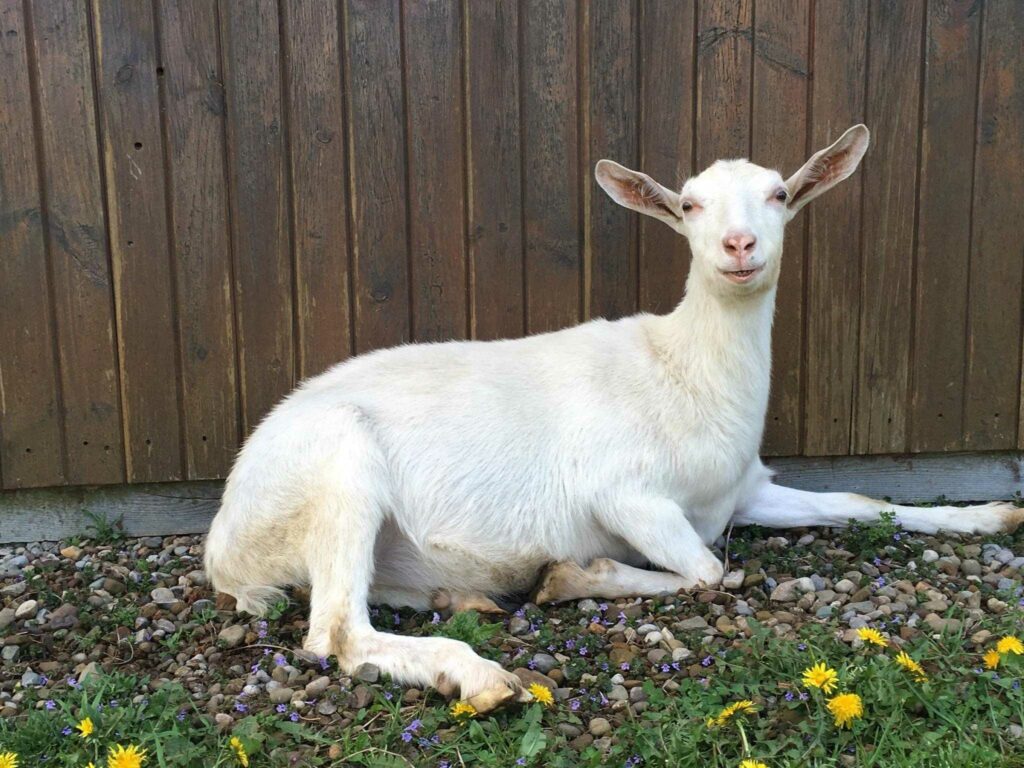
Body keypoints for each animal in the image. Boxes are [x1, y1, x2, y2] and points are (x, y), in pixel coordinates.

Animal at [204, 124, 1023, 712]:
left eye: (780, 193)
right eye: (688, 203)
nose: (740, 246)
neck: (683, 372)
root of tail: (223, 547)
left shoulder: (743, 490)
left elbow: (855, 500)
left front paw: (991, 516)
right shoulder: (623, 493)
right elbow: (710, 571)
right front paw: (574, 573)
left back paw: (461, 597)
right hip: (339, 470)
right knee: (336, 630)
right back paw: (479, 675)